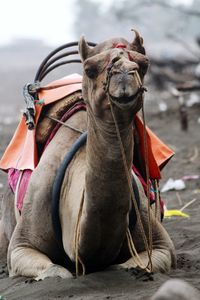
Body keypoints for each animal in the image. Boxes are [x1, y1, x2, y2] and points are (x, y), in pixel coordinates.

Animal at [0, 31, 175, 280]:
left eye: (143, 64)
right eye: (90, 68)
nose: (124, 73)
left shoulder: (161, 246)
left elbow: (128, 265)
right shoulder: (21, 247)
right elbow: (56, 272)